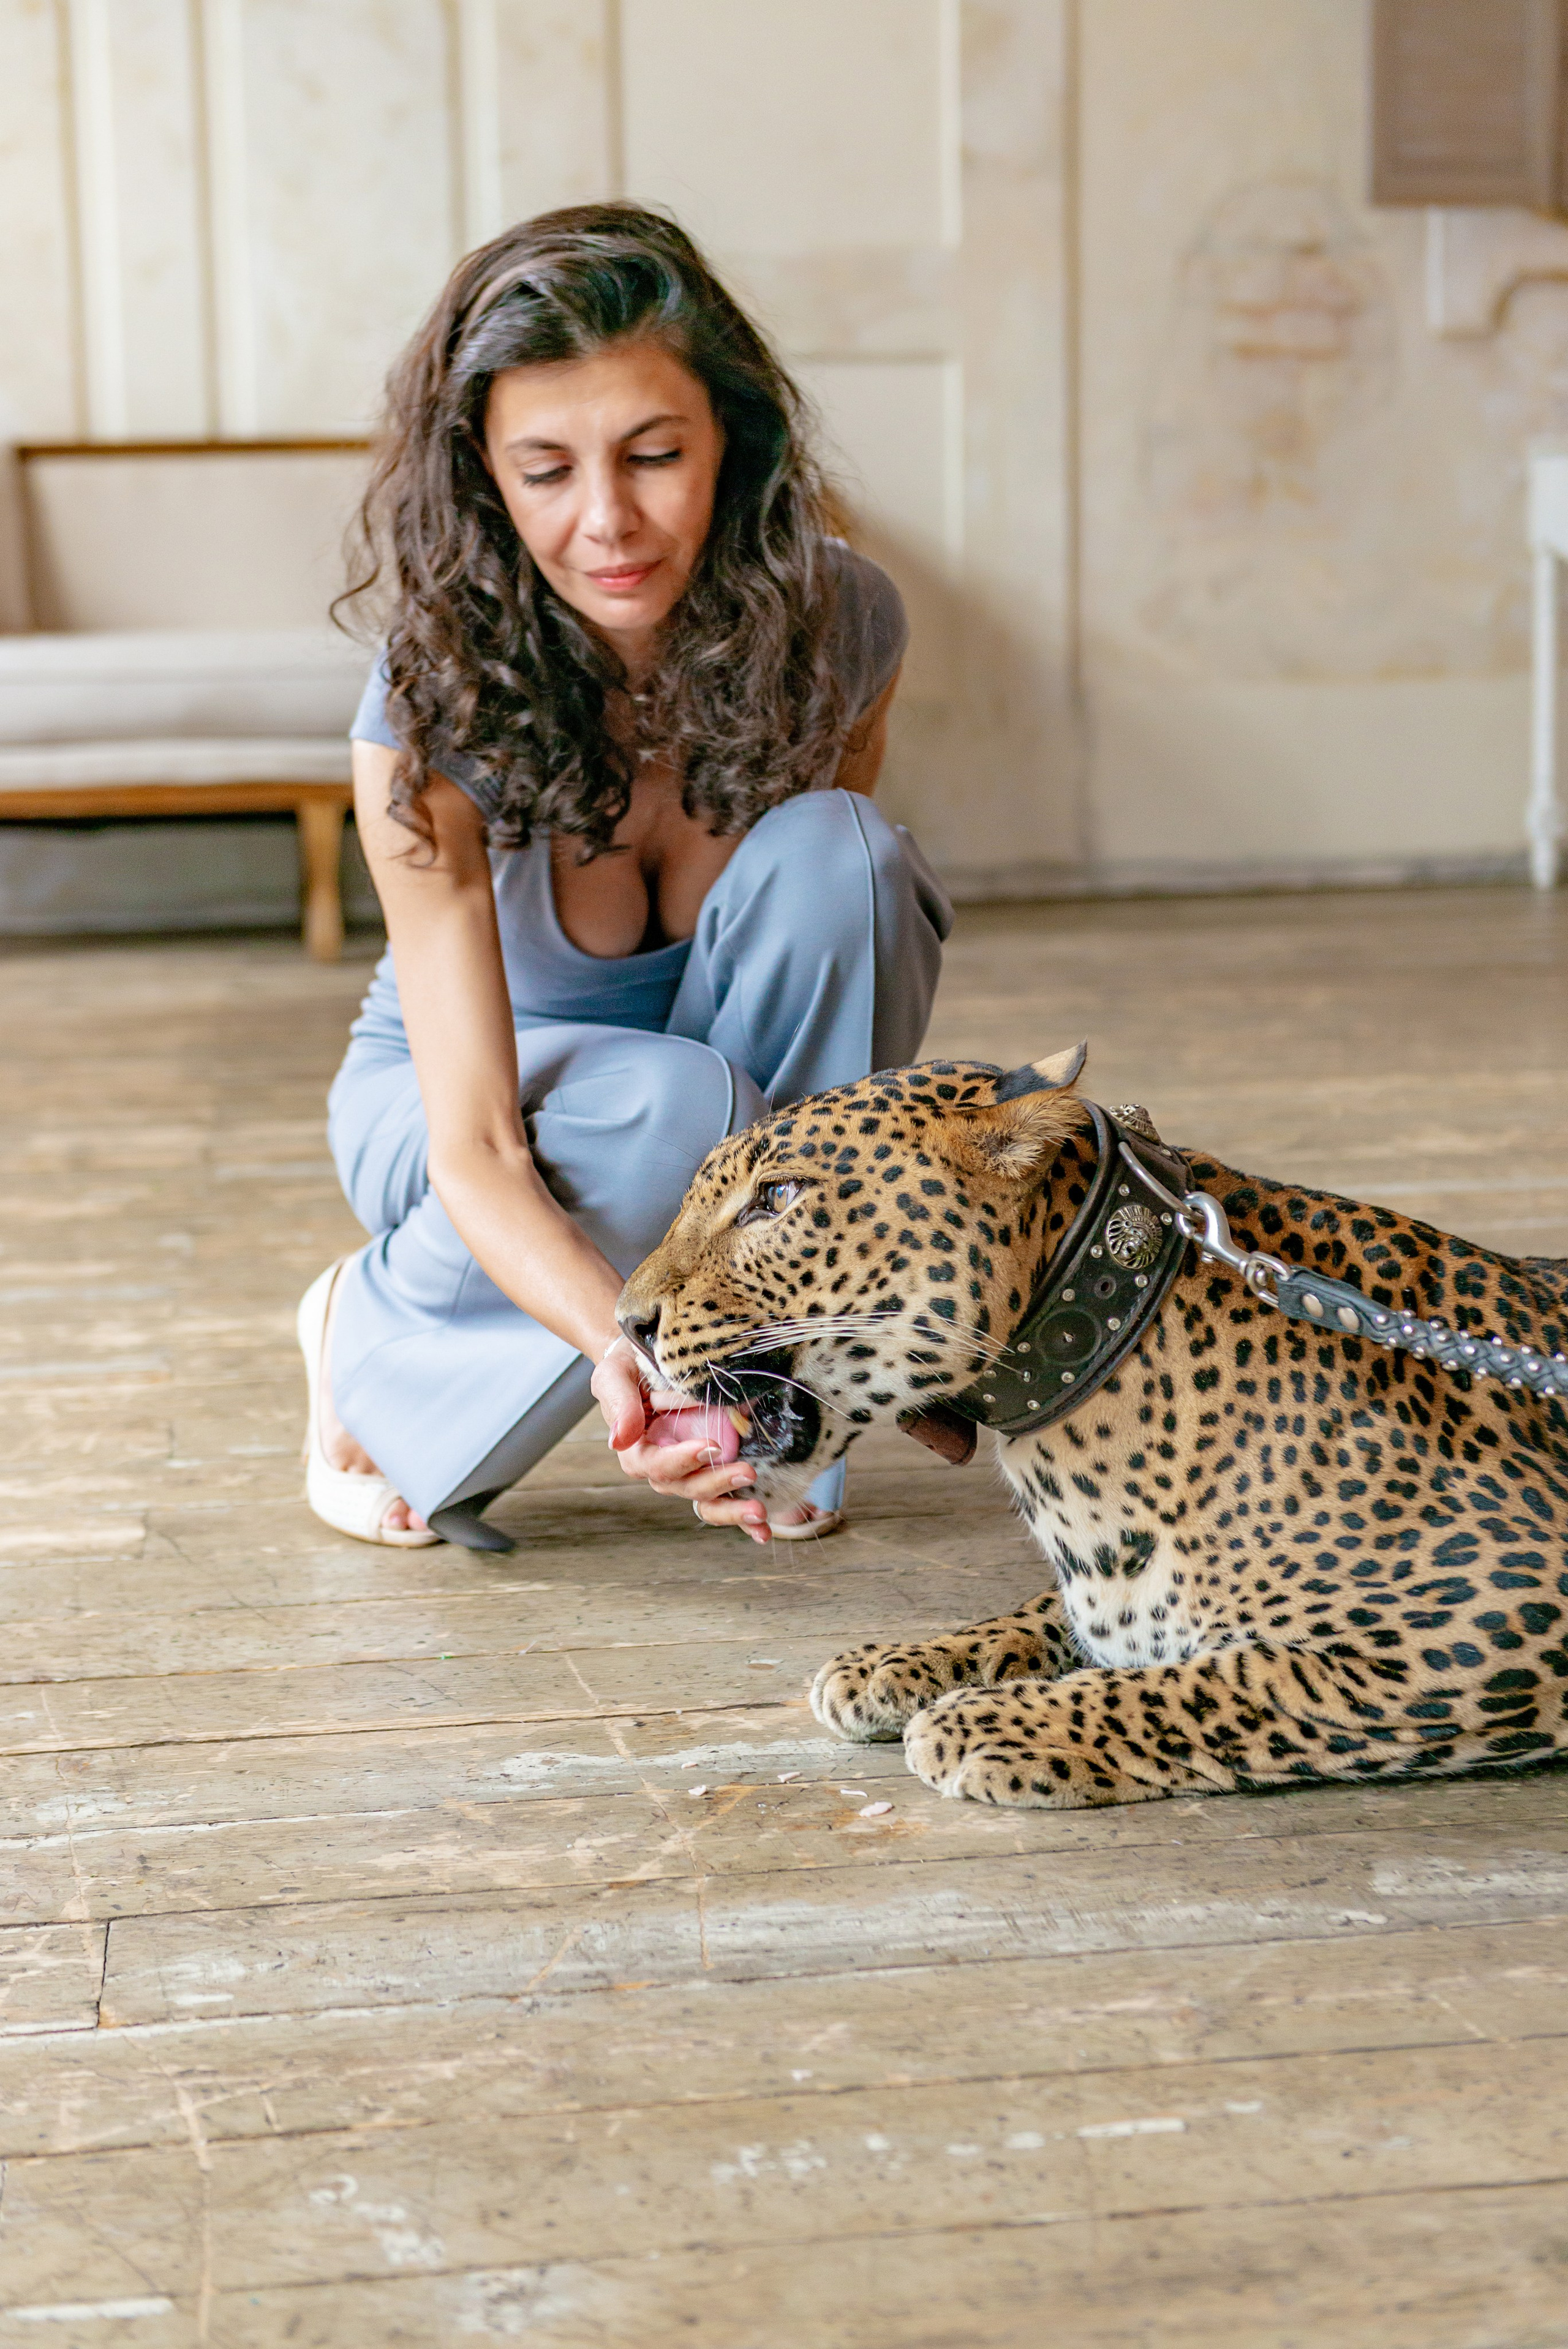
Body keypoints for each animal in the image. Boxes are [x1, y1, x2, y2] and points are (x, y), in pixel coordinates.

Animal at [615, 1046, 1568, 1810]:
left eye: (775, 1197)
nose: (627, 1323)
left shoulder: (1500, 1602)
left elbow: (1231, 1676)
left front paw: (995, 1724)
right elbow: (1046, 1612)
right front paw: (902, 1663)